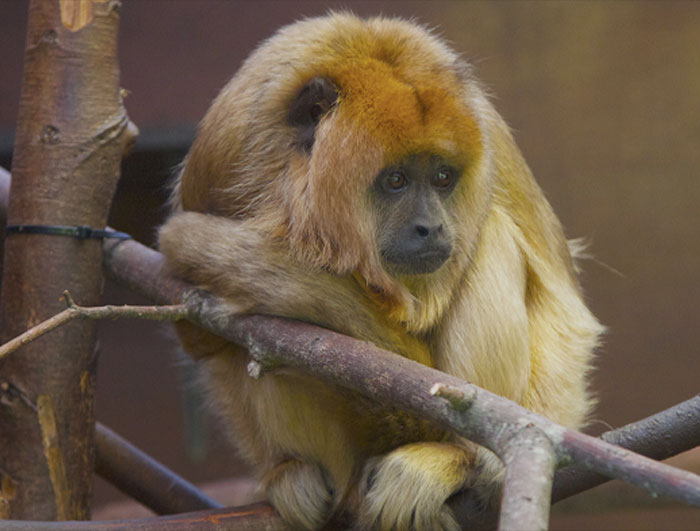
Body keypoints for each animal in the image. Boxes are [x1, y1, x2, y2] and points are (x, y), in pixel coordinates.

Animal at [158, 12, 603, 531]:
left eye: (443, 177)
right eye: (395, 180)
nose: (431, 227)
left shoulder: (492, 137)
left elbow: (563, 309)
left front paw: (495, 465)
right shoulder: (222, 149)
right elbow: (203, 341)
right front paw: (279, 470)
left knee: (492, 235)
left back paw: (452, 458)